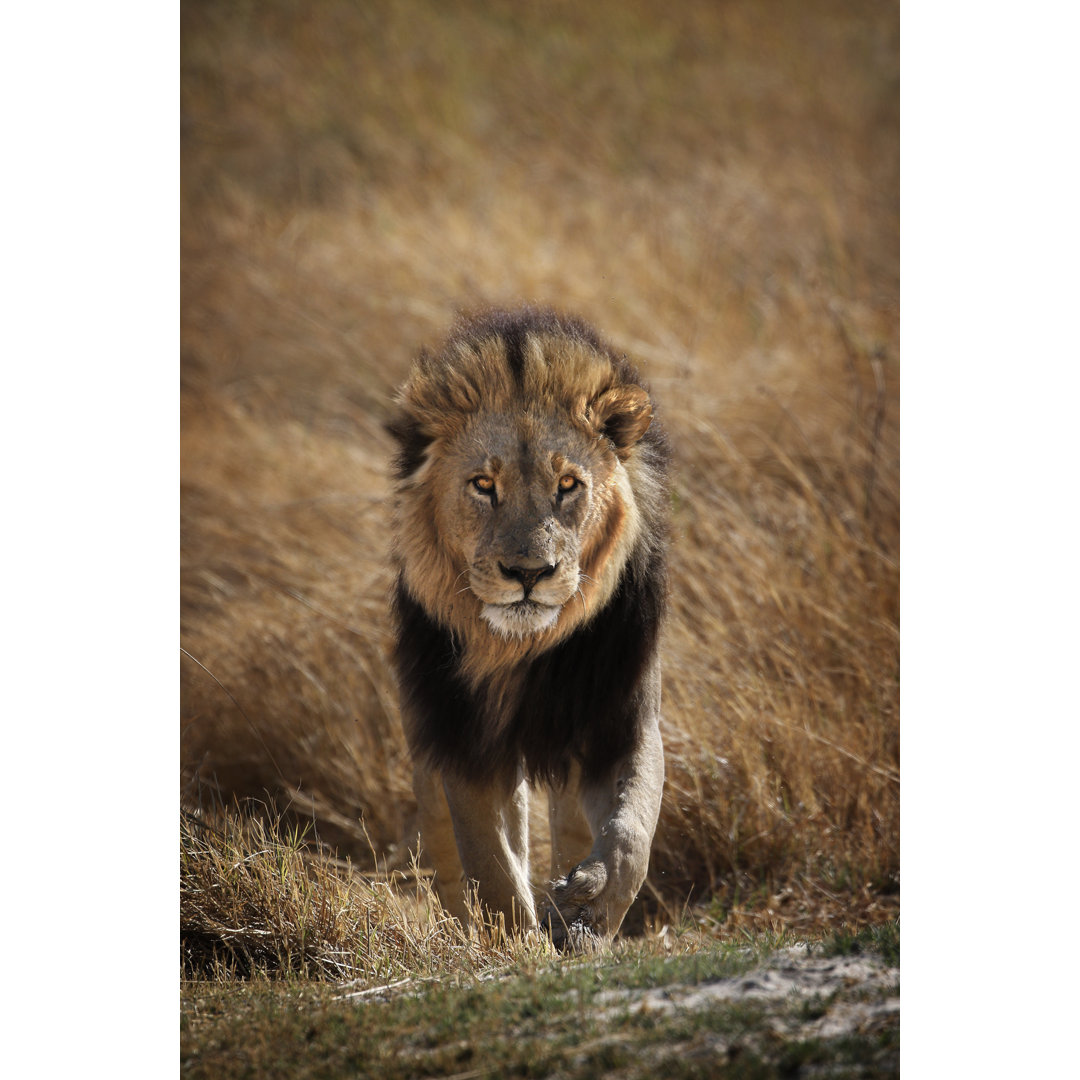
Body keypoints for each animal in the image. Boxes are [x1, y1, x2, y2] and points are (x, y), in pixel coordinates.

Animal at [388, 304, 669, 946]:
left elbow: (632, 834)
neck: (524, 648)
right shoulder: (465, 739)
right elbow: (490, 862)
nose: (528, 573)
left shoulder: (623, 719)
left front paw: (589, 907)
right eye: (483, 485)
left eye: (568, 485)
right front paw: (517, 944)